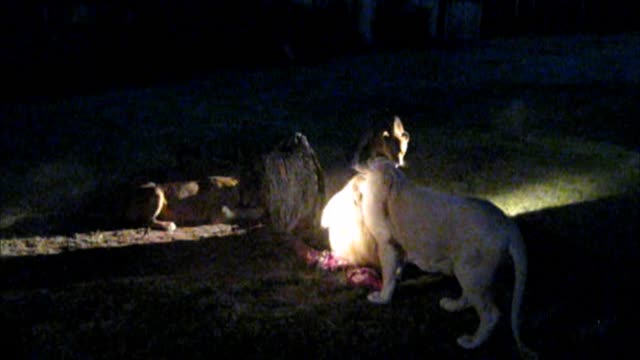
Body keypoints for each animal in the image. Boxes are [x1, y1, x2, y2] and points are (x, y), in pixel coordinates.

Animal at [356, 160, 536, 358]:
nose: (360, 174)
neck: (395, 183)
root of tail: (507, 223)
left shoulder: (386, 245)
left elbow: (387, 275)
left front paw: (381, 297)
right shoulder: (398, 247)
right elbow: (396, 269)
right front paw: (397, 278)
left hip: (470, 271)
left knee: (490, 314)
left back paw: (471, 342)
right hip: (468, 271)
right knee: (468, 298)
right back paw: (452, 305)